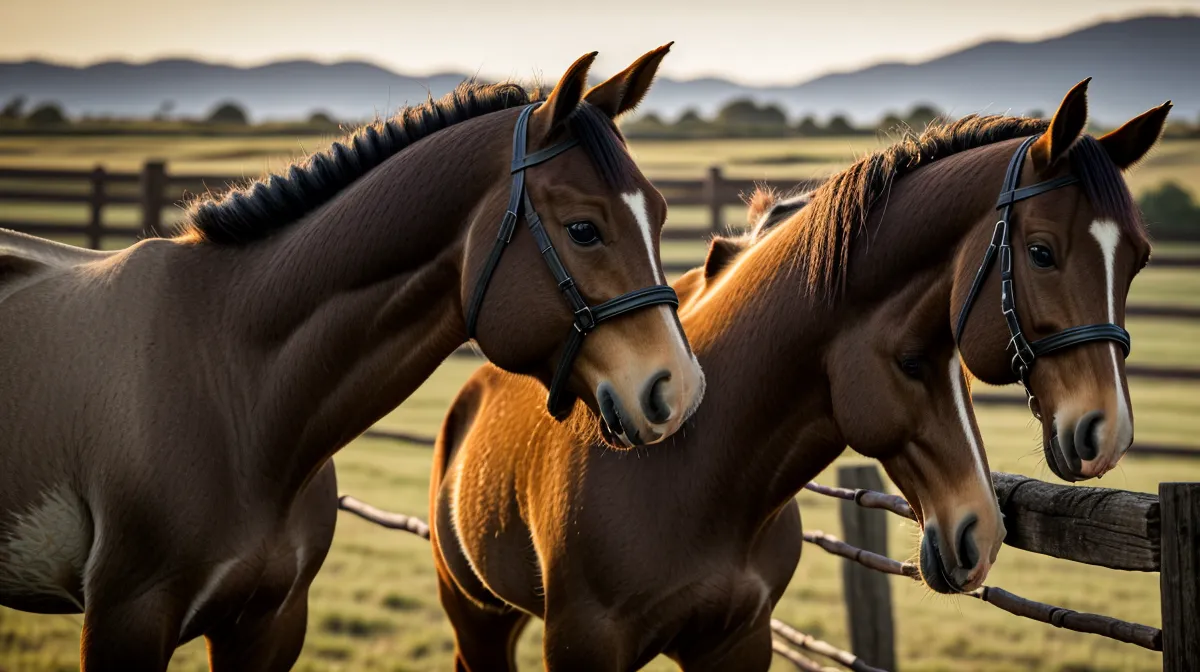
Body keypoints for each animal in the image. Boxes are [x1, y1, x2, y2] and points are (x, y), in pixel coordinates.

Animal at [0, 46, 704, 671]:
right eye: (584, 229)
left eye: (661, 214)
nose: (678, 389)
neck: (236, 387)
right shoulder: (128, 618)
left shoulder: (268, 625)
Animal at [428, 81, 1168, 670]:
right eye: (1042, 252)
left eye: (1137, 260)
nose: (1109, 432)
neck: (697, 469)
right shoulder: (584, 647)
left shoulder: (740, 643)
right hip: (477, 620)